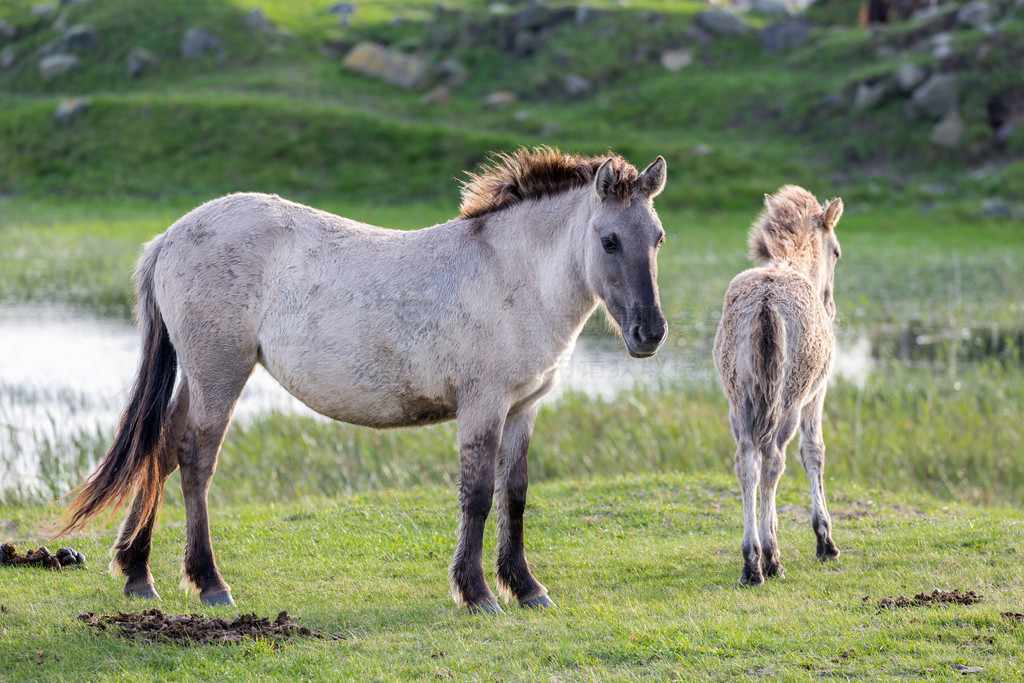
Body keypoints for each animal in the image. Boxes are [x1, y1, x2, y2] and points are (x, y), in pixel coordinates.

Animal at [64, 148, 671, 614]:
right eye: (610, 240)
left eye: (658, 238)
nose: (650, 332)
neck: (511, 274)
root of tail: (169, 236)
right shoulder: (483, 406)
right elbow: (477, 495)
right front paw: (476, 593)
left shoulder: (524, 407)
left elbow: (515, 494)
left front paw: (525, 587)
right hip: (220, 373)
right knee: (194, 460)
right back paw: (210, 584)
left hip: (199, 375)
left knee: (161, 449)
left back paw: (138, 574)